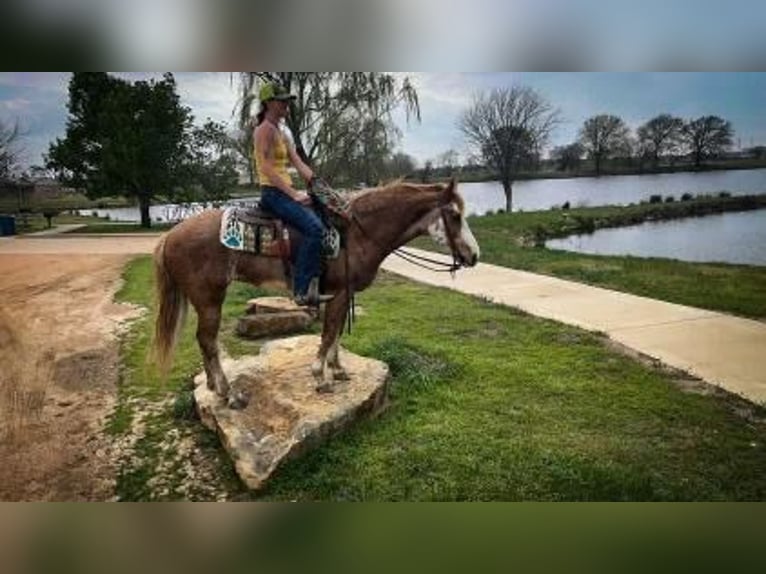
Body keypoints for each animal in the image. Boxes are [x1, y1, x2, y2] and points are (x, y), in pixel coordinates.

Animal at [153, 180, 484, 410]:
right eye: (455, 216)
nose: (474, 255)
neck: (357, 234)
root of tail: (170, 235)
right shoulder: (337, 294)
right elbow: (328, 334)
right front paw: (320, 377)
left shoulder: (342, 294)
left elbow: (335, 334)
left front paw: (337, 370)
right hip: (210, 298)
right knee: (208, 340)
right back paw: (229, 393)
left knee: (204, 341)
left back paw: (212, 385)